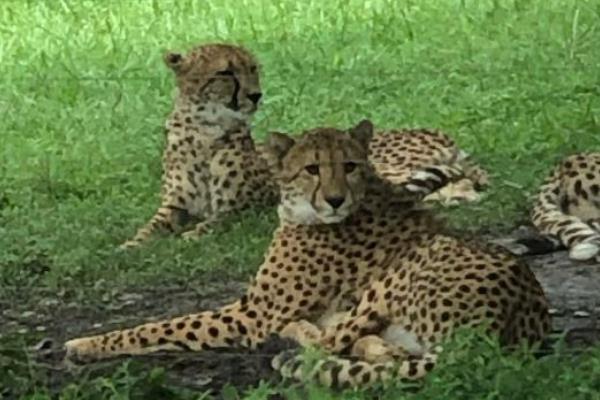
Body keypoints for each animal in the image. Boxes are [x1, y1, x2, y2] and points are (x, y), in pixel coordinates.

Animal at [65, 119, 548, 388]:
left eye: (349, 165)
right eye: (312, 168)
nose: (334, 199)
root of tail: (503, 332)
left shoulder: (252, 316)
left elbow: (156, 326)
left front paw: (84, 344)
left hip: (411, 266)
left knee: (326, 341)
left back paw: (299, 335)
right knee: (378, 351)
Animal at [118, 41, 488, 247]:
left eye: (253, 68)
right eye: (226, 73)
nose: (256, 95)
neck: (204, 129)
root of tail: (438, 131)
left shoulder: (247, 208)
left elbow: (216, 221)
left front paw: (192, 234)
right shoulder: (173, 206)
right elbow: (149, 228)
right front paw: (130, 244)